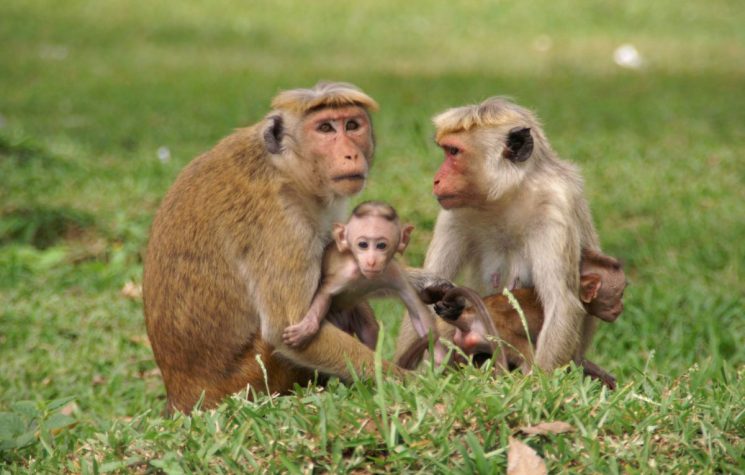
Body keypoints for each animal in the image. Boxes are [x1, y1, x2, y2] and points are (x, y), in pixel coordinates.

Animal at [143, 82, 407, 413]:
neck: (282, 168)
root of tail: (181, 396)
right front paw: (409, 378)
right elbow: (289, 329)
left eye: (351, 125)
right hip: (249, 378)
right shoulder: (283, 225)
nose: (350, 153)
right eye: (325, 128)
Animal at [282, 201, 445, 363]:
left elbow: (416, 311)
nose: (372, 261)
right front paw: (306, 329)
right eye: (363, 244)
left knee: (369, 330)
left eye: (381, 245)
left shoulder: (394, 273)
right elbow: (325, 293)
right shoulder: (345, 274)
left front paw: (438, 354)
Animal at [395, 97, 603, 374]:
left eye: (454, 152)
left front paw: (538, 383)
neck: (508, 196)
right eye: (446, 150)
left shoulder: (555, 205)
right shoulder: (455, 212)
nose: (436, 180)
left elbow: (562, 303)